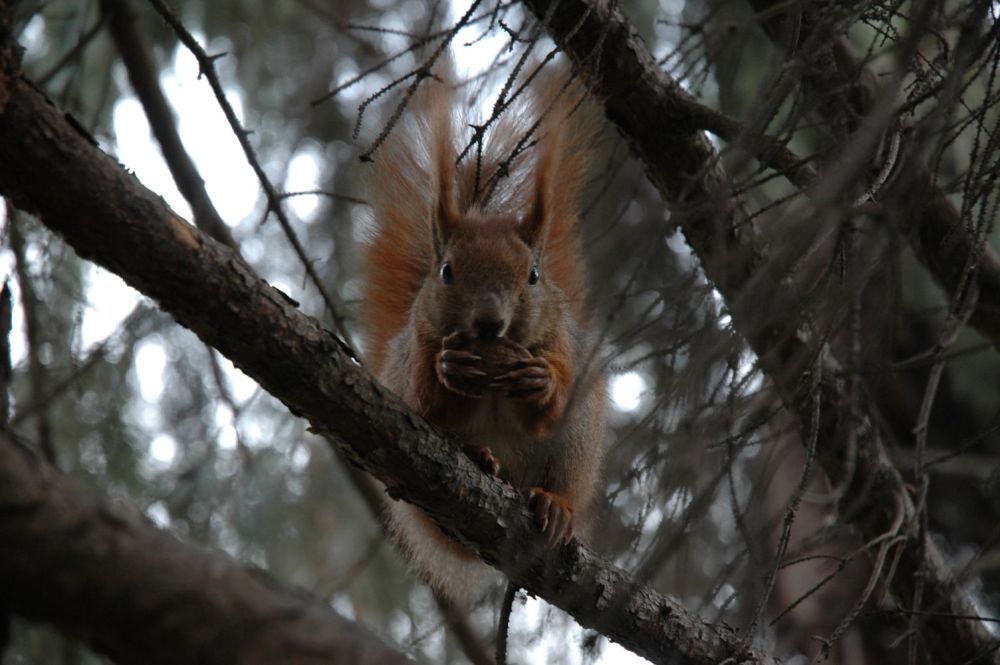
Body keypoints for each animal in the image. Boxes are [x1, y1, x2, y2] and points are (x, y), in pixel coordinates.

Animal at [364, 65, 604, 604]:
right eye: (446, 271)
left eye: (533, 276)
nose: (490, 322)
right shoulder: (419, 348)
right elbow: (427, 404)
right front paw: (450, 369)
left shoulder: (560, 342)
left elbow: (551, 402)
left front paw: (540, 381)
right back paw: (478, 455)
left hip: (577, 441)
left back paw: (555, 504)